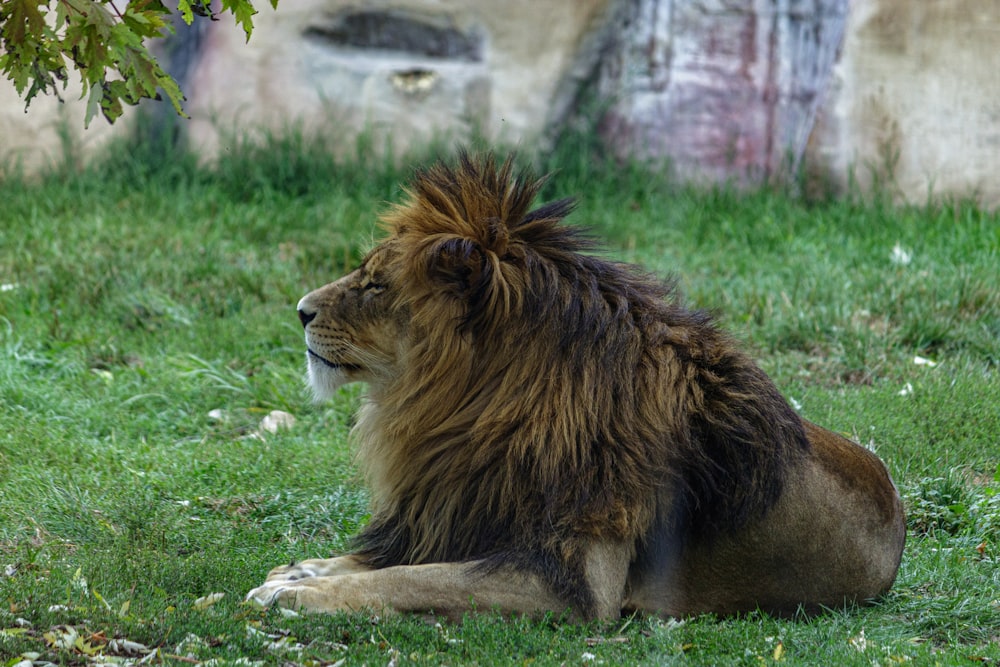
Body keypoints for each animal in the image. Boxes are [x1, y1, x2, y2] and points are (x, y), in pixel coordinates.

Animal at [248, 151, 908, 620]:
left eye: (375, 285)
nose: (300, 311)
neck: (470, 408)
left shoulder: (577, 584)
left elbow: (408, 580)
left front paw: (298, 597)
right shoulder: (462, 511)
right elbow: (384, 562)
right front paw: (302, 573)